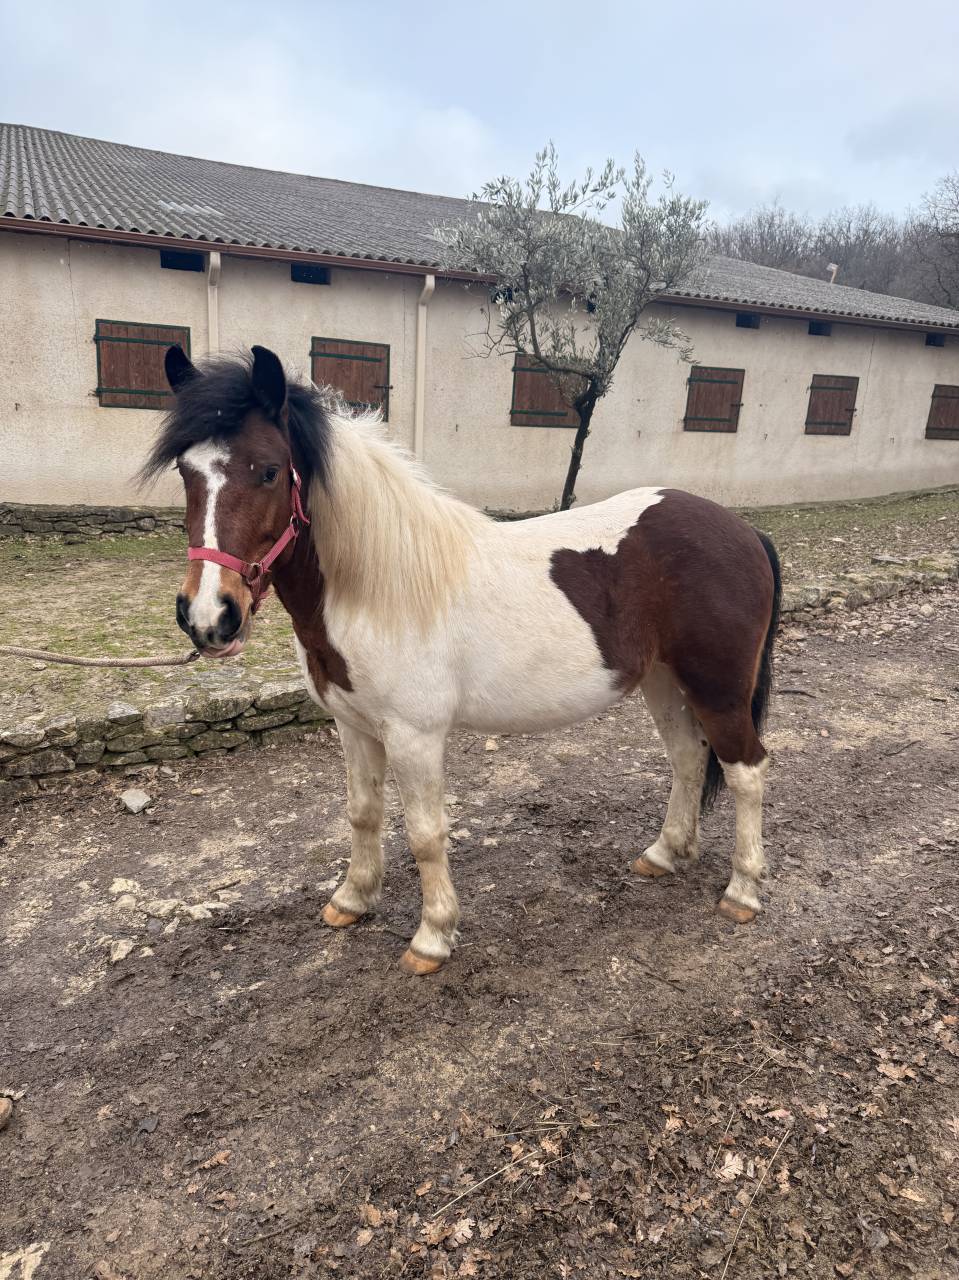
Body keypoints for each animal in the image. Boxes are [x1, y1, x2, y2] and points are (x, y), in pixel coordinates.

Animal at [144, 344, 782, 976]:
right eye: (185, 472)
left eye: (269, 470)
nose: (208, 616)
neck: (377, 588)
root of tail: (743, 529)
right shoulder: (354, 728)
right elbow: (362, 812)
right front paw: (352, 899)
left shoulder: (415, 736)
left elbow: (426, 834)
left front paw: (432, 936)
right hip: (665, 682)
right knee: (689, 758)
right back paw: (665, 853)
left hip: (718, 689)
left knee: (747, 770)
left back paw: (742, 891)